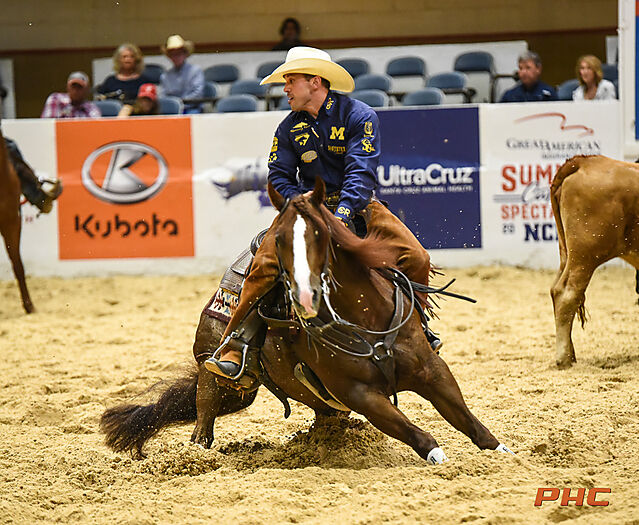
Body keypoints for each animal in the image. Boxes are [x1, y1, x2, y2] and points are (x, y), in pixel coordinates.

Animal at [101, 178, 513, 463]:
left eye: (321, 233)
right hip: (214, 374)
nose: (302, 293)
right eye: (280, 240)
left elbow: (469, 421)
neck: (366, 321)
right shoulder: (362, 394)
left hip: (263, 394)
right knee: (203, 422)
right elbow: (419, 435)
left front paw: (503, 454)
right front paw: (441, 459)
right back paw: (197, 453)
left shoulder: (432, 370)